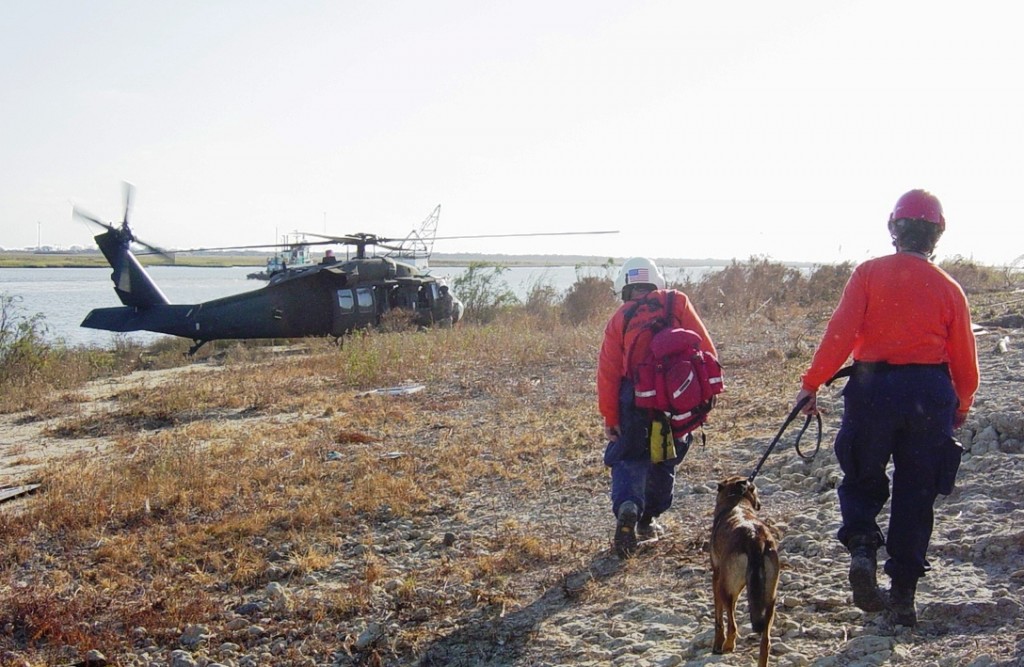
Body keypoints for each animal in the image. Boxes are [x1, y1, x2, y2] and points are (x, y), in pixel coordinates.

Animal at [716, 475, 778, 667]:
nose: (759, 504)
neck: (736, 500)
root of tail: (754, 539)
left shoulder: (717, 577)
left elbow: (719, 618)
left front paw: (717, 644)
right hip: (770, 597)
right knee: (766, 641)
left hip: (726, 588)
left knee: (732, 625)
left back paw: (728, 645)